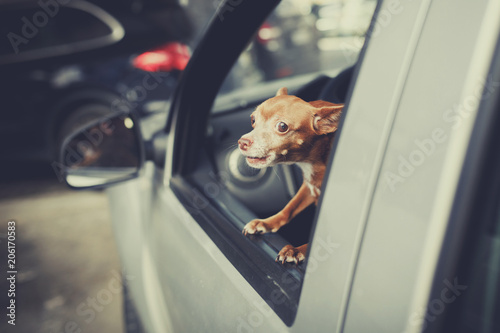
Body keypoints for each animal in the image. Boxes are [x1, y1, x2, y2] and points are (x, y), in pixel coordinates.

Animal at [236, 87, 342, 264]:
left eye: (282, 126)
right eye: (253, 119)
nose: (242, 142)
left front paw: (297, 250)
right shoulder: (308, 188)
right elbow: (290, 207)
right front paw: (265, 223)